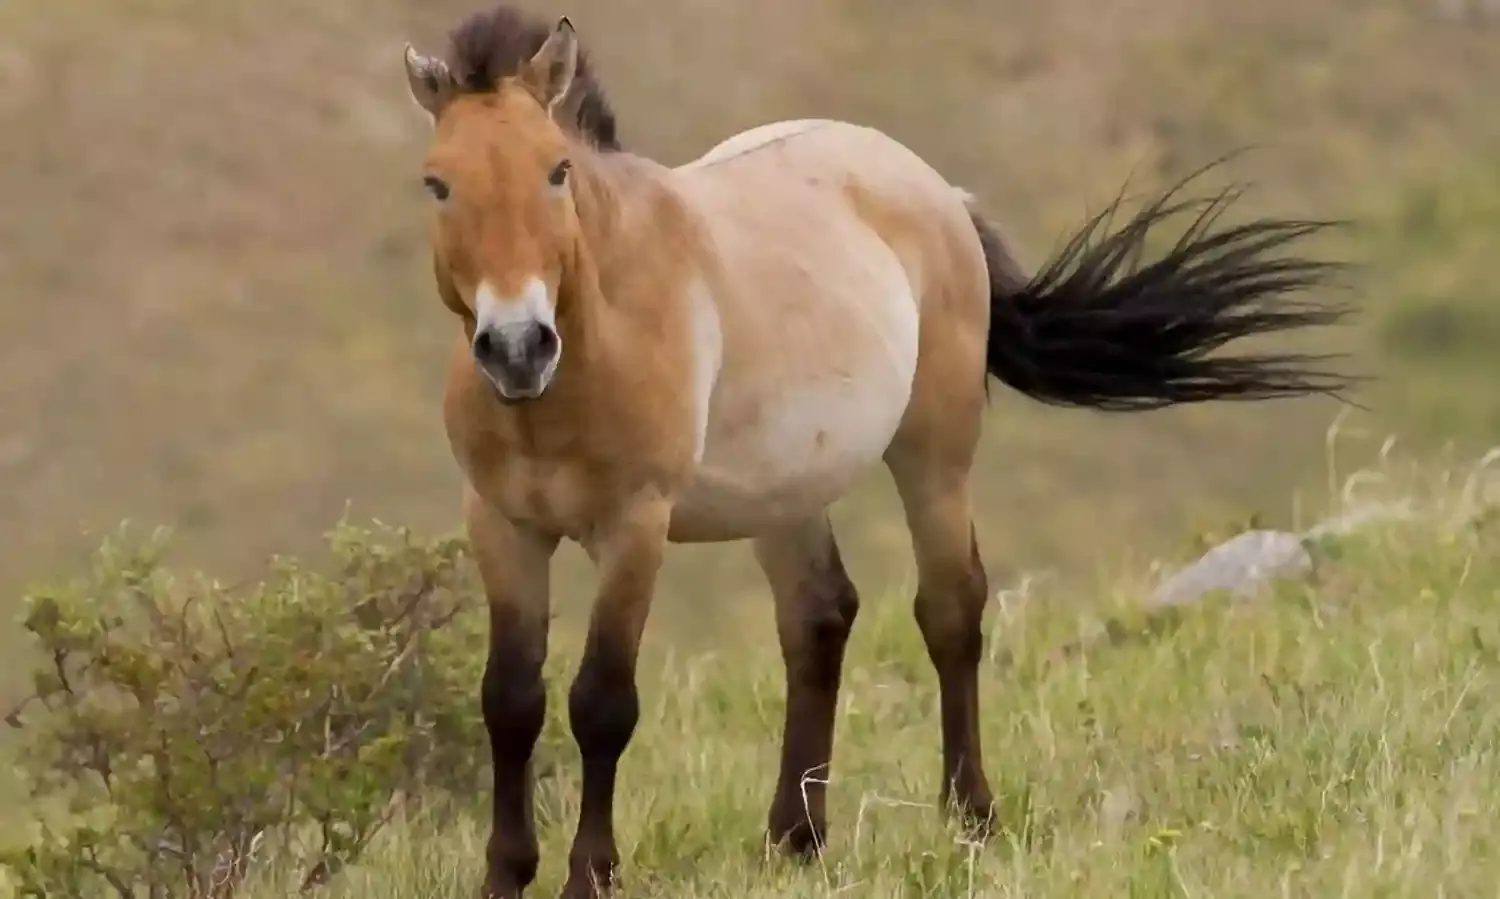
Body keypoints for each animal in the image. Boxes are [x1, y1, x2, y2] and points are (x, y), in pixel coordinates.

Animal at [399, 7, 1356, 897]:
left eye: (556, 170)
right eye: (436, 184)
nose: (516, 345)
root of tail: (936, 188)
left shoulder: (634, 526)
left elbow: (601, 702)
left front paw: (588, 874)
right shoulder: (503, 525)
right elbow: (509, 700)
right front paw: (503, 874)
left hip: (936, 452)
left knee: (950, 609)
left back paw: (970, 816)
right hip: (784, 491)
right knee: (817, 617)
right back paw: (796, 836)